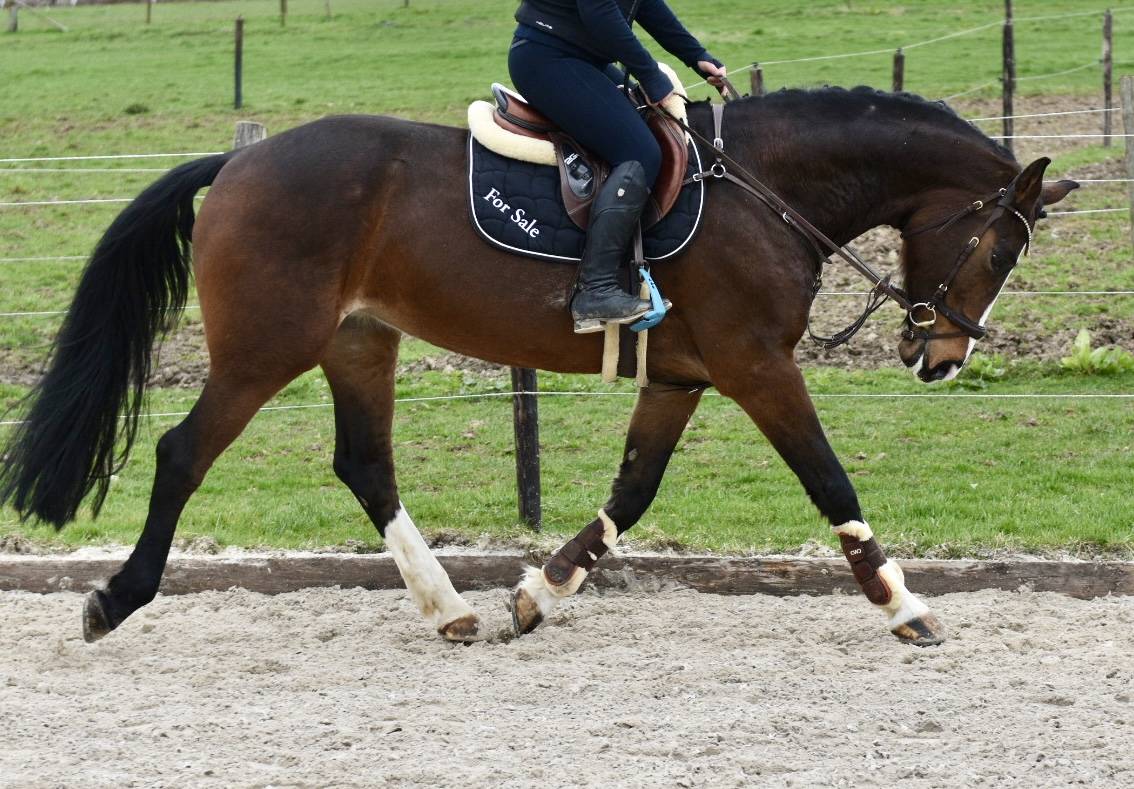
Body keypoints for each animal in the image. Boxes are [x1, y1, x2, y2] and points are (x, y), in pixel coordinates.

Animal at [0, 86, 1077, 647]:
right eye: (997, 250)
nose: (941, 358)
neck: (768, 190)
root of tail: (238, 164)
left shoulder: (684, 376)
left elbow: (632, 493)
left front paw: (539, 592)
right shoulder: (755, 365)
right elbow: (829, 480)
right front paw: (905, 603)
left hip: (359, 339)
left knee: (365, 465)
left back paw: (451, 610)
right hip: (269, 346)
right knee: (184, 454)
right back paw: (115, 599)